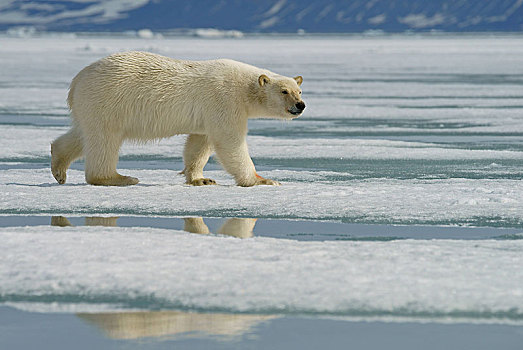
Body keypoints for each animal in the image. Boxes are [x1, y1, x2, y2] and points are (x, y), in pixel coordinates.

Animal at [51, 51, 304, 187]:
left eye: (299, 90)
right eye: (284, 91)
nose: (300, 106)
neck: (243, 87)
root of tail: (76, 81)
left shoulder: (208, 114)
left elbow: (200, 142)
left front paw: (201, 179)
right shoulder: (224, 100)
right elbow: (230, 141)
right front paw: (263, 180)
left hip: (92, 106)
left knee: (82, 135)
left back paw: (59, 168)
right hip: (107, 100)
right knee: (104, 140)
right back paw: (119, 177)